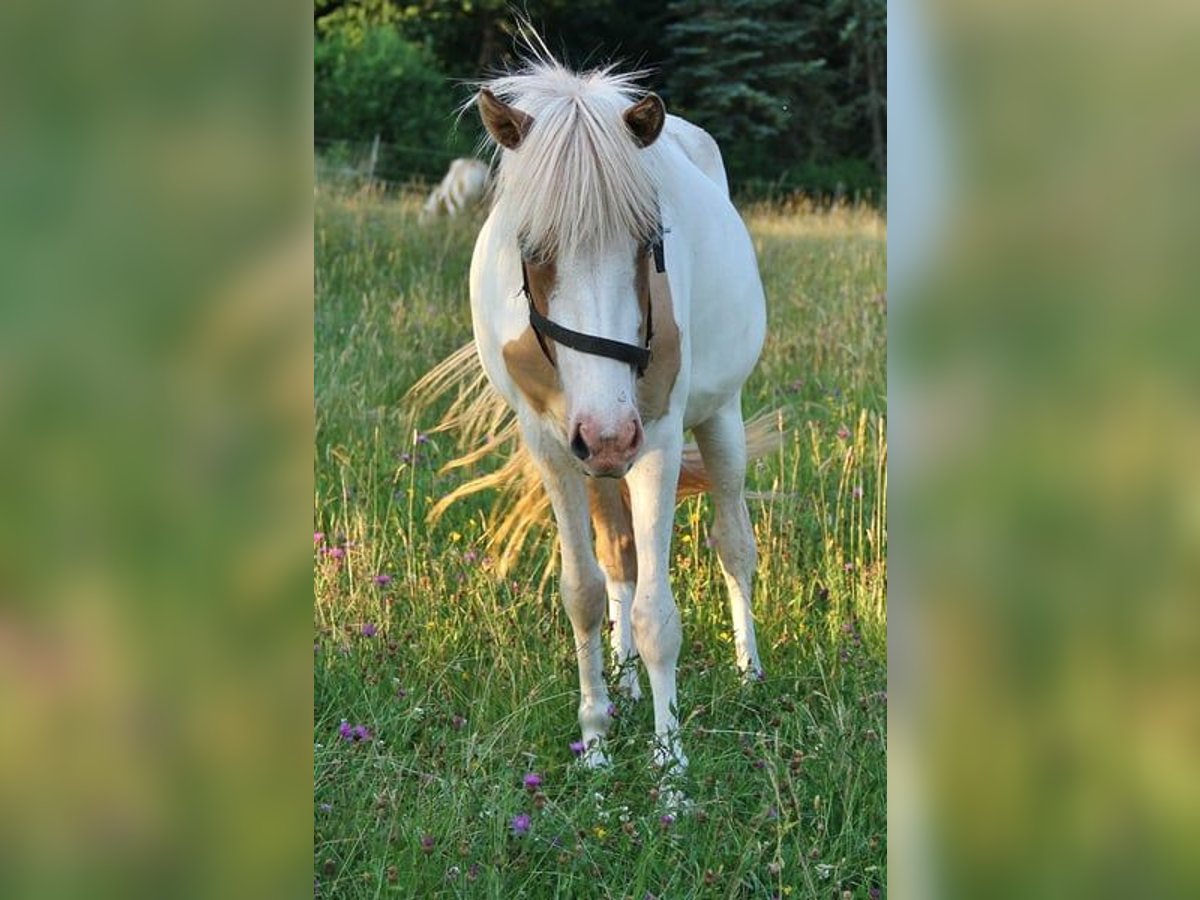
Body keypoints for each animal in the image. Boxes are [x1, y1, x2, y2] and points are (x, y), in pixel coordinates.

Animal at [410, 51, 773, 776]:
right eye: (529, 246)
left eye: (649, 240)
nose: (607, 434)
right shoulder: (556, 449)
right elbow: (583, 592)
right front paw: (598, 744)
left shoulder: (655, 442)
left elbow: (659, 616)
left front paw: (670, 771)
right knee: (619, 560)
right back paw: (626, 683)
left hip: (713, 421)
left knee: (733, 546)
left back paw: (749, 673)